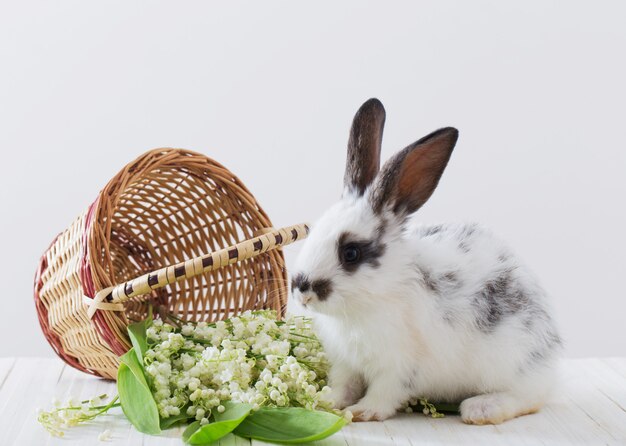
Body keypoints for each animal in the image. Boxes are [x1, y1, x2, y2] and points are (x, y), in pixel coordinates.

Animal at [290, 98, 564, 426]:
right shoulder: (345, 362)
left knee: (530, 397)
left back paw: (481, 409)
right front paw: (326, 403)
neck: (373, 299)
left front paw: (363, 412)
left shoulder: (400, 365)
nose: (302, 290)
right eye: (314, 231)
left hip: (512, 361)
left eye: (351, 252)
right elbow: (344, 385)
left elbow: (385, 392)